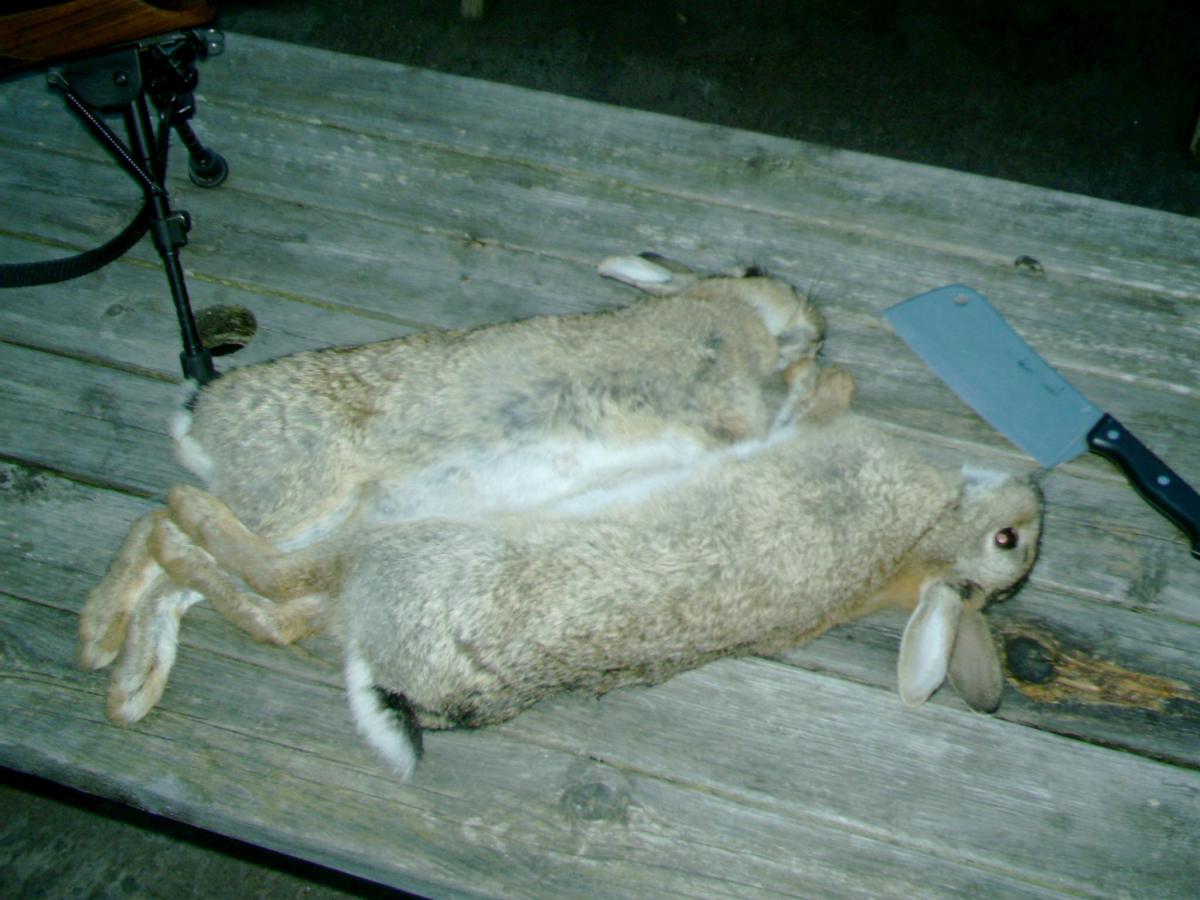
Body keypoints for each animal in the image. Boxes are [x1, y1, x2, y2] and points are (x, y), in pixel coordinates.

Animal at [103, 364, 1043, 781]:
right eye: (1012, 543)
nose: (1037, 490)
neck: (929, 535)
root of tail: (406, 677)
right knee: (274, 607)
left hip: (405, 544)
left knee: (265, 578)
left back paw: (181, 526)